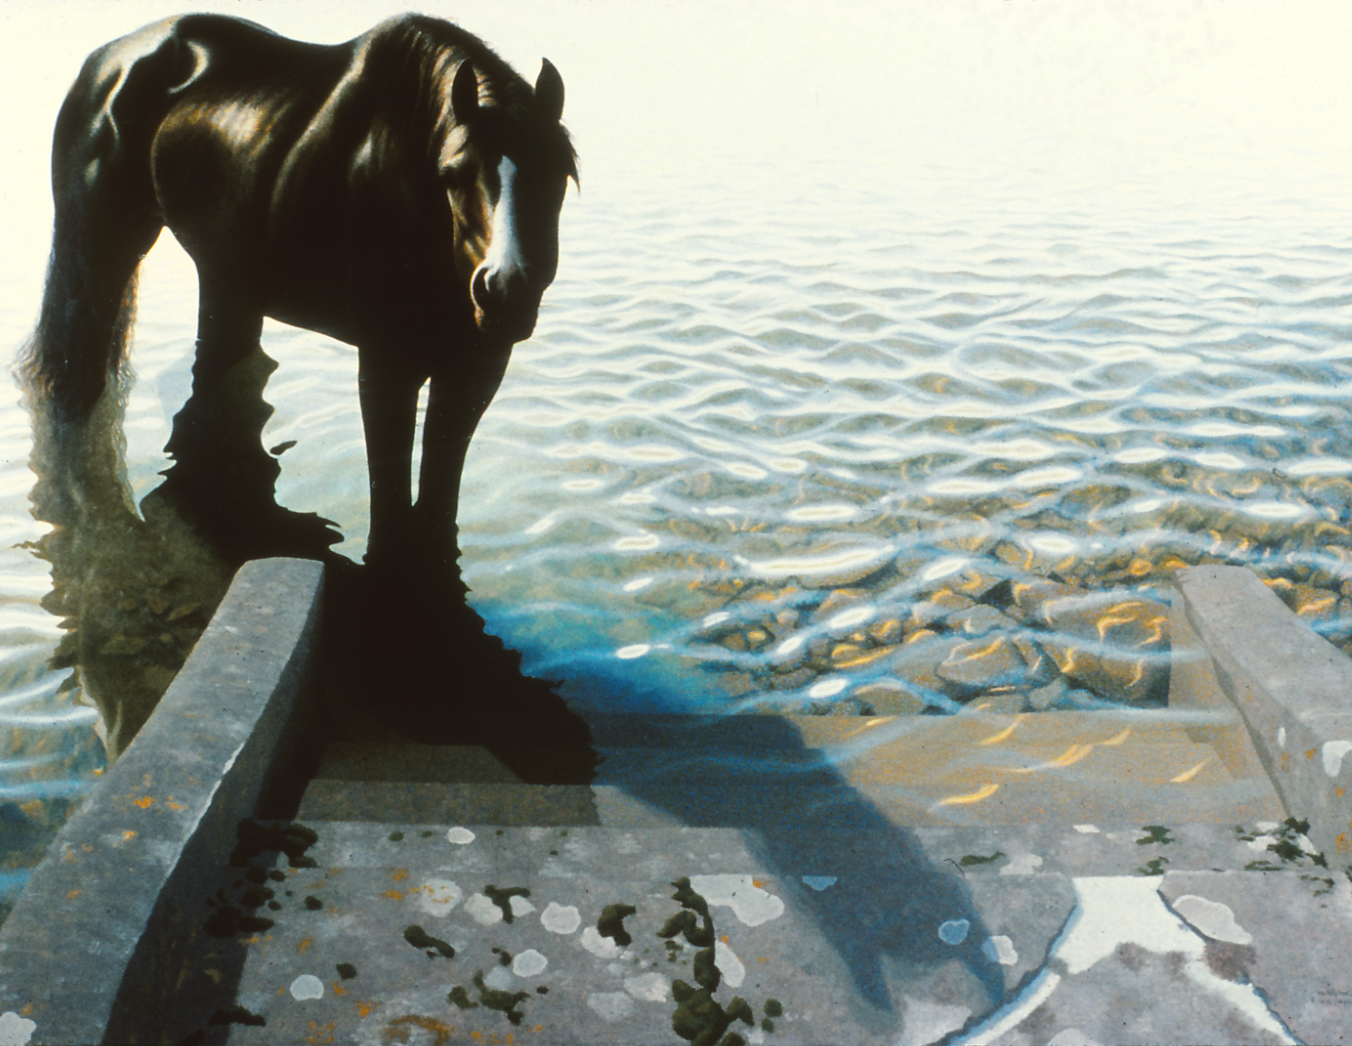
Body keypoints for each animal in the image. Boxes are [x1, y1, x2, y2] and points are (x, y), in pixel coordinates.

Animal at [19, 12, 577, 569]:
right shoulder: (386, 364)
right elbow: (390, 493)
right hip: (99, 251)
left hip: (226, 279)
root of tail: (106, 61)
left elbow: (440, 494)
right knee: (72, 371)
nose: (506, 289)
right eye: (454, 174)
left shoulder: (477, 363)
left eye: (559, 173)